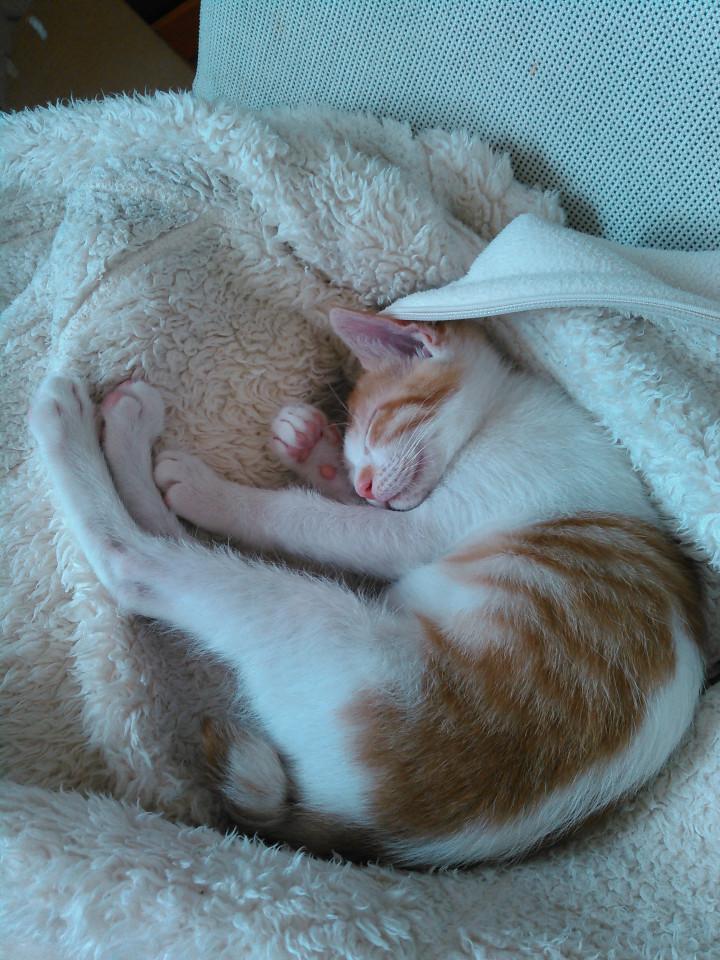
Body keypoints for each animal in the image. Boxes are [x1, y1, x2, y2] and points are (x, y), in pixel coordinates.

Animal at [28, 307, 705, 868]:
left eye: (380, 421)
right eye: (359, 455)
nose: (368, 483)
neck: (502, 410)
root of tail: (365, 827)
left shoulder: (454, 508)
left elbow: (308, 520)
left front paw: (214, 493)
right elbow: (342, 516)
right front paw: (312, 449)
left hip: (319, 630)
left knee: (140, 565)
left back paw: (84, 434)